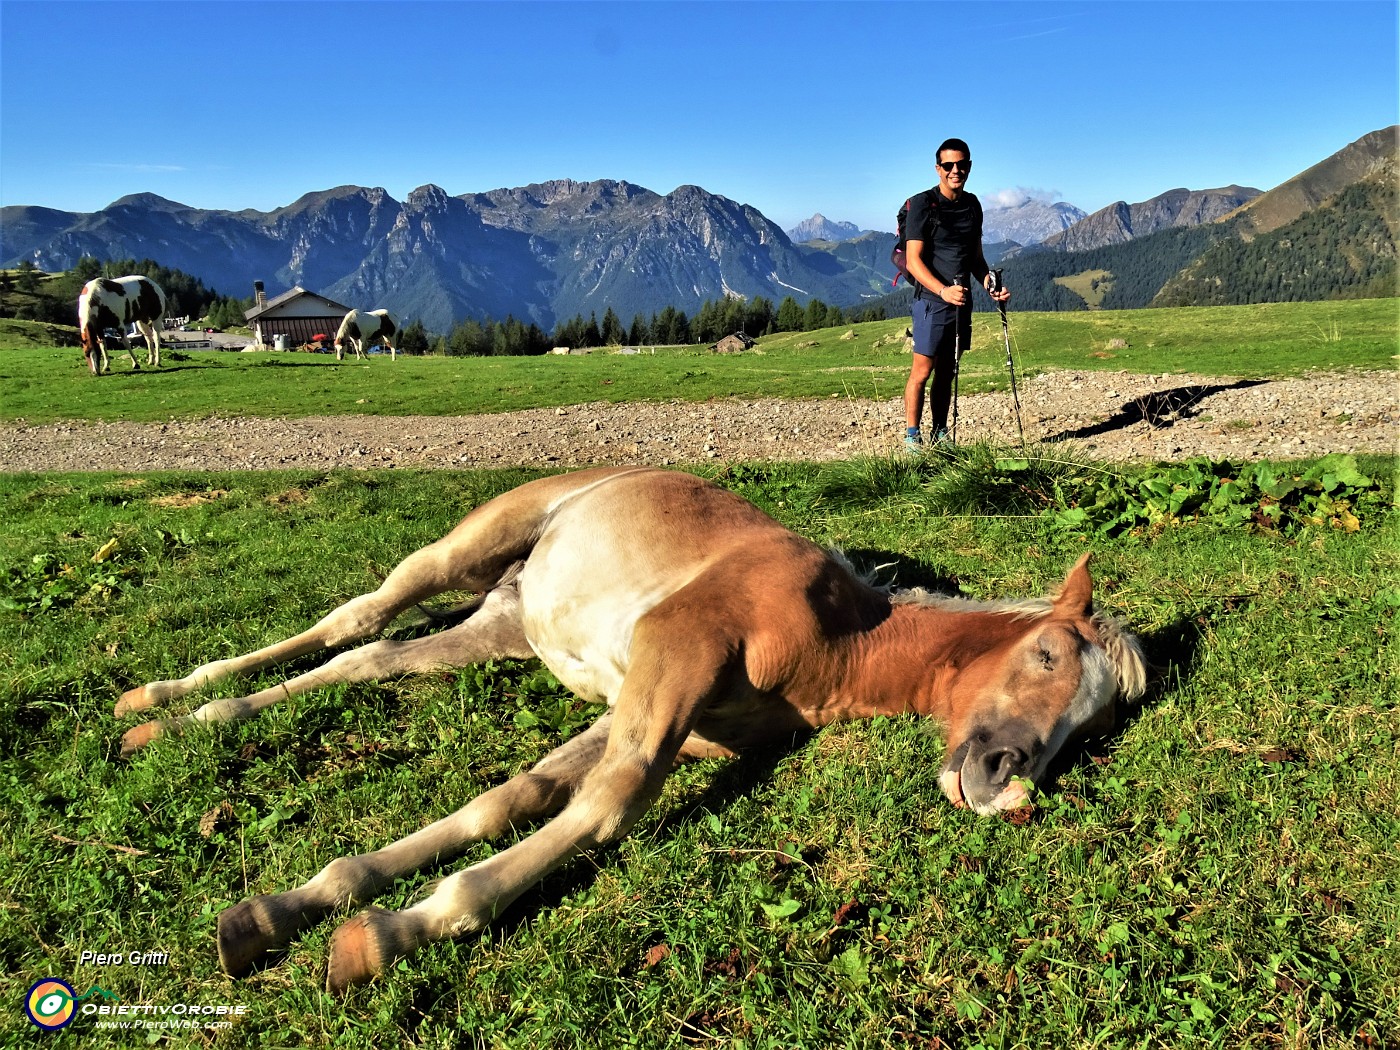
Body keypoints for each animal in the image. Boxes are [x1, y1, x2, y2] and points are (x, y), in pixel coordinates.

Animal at [117, 467, 1148, 996]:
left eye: (1095, 729)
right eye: (1049, 654)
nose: (1007, 780)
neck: (841, 641)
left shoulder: (663, 710)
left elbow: (513, 798)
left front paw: (296, 906)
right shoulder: (675, 649)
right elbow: (610, 801)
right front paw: (401, 930)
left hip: (499, 624)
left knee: (368, 657)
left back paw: (175, 723)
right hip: (464, 551)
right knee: (358, 615)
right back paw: (170, 702)